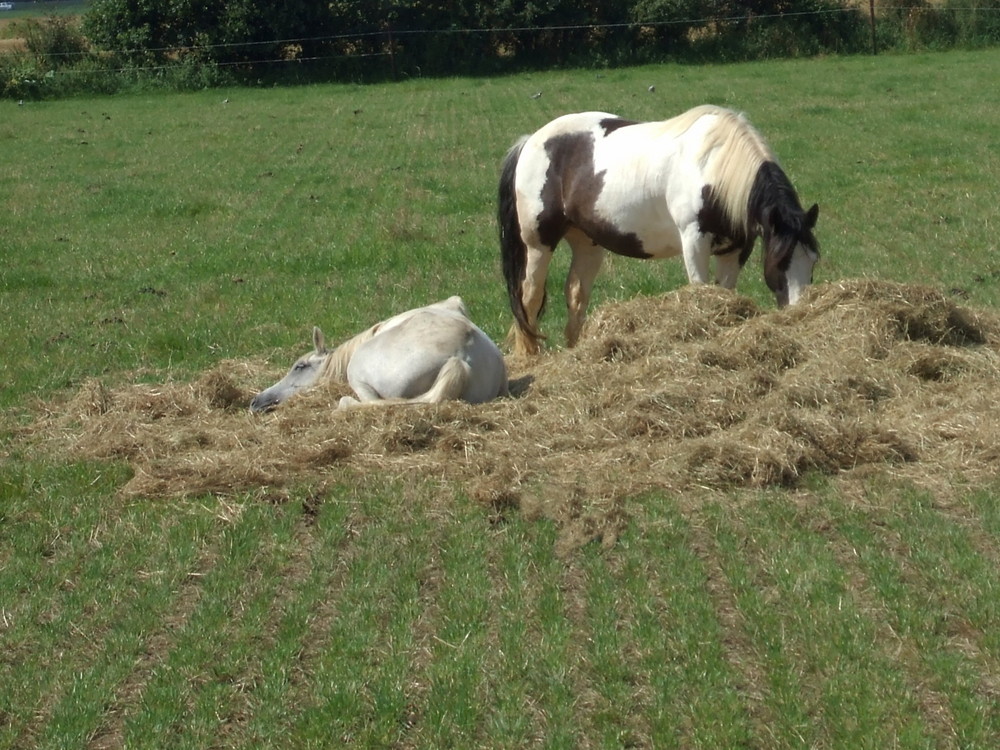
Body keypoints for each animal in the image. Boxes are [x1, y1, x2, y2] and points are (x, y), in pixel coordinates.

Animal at [500, 103, 820, 358]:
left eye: (814, 261)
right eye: (779, 261)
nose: (800, 312)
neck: (713, 168)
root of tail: (530, 141)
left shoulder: (736, 248)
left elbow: (724, 293)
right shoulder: (694, 240)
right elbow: (699, 289)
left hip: (586, 243)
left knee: (576, 296)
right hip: (538, 245)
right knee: (529, 300)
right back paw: (530, 356)